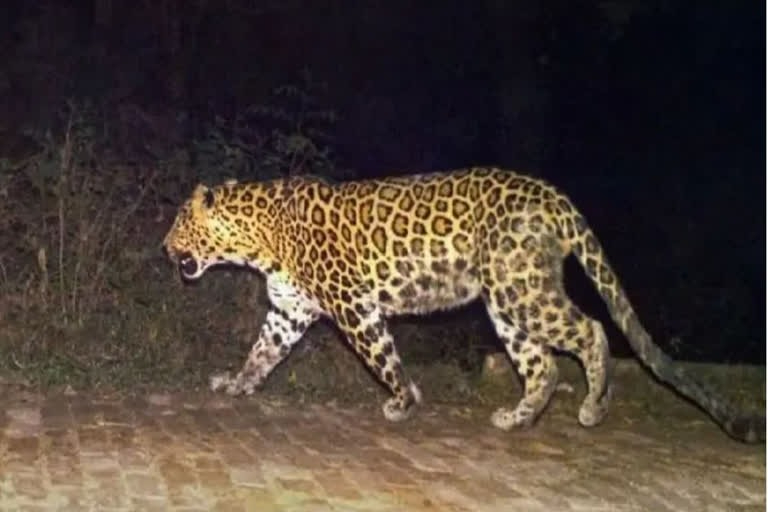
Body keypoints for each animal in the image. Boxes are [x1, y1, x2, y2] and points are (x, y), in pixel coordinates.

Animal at [160, 168, 760, 444]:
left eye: (179, 223)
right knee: (542, 366)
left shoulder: (354, 304)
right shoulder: (289, 312)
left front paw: (404, 401)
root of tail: (555, 196)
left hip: (520, 290)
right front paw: (236, 385)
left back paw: (594, 406)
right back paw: (518, 418)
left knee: (590, 330)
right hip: (506, 303)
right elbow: (261, 352)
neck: (258, 239)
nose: (164, 248)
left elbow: (381, 355)